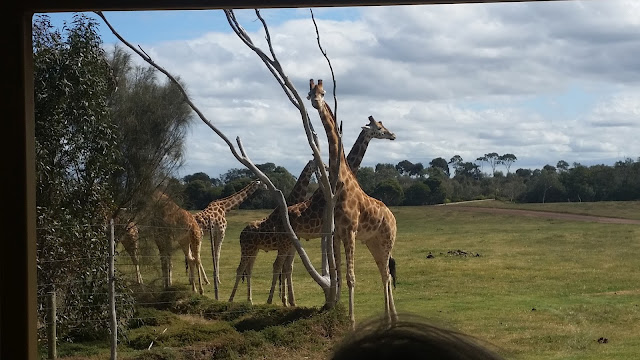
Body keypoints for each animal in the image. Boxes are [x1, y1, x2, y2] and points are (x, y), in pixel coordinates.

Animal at [225, 114, 396, 306]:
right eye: (379, 129)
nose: (392, 135)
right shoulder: (329, 231)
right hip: (263, 246)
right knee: (259, 267)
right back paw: (248, 300)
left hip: (271, 246)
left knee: (266, 267)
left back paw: (269, 300)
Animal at [308, 78, 398, 326]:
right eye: (310, 93)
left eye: (323, 92)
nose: (392, 135)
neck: (342, 182)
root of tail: (393, 217)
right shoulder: (336, 233)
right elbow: (339, 275)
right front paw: (342, 315)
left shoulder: (349, 232)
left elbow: (350, 277)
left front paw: (352, 322)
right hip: (373, 242)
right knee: (385, 273)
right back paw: (389, 318)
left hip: (386, 240)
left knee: (386, 274)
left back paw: (392, 319)